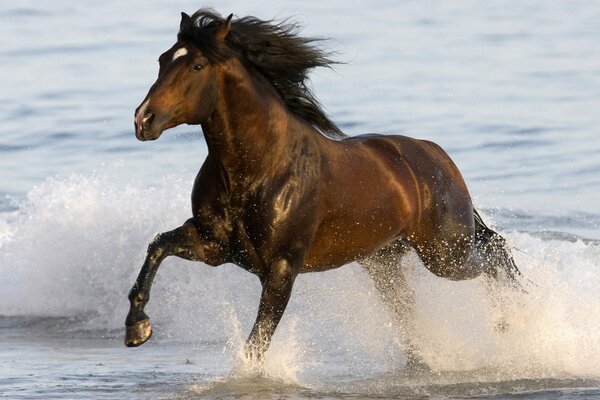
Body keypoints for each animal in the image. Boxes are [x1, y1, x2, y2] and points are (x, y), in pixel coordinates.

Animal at [125, 9, 520, 364]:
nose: (144, 120)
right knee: (412, 305)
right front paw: (137, 329)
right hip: (385, 261)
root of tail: (437, 155)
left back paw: (511, 323)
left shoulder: (282, 267)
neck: (259, 169)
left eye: (196, 66)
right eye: (162, 60)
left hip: (445, 253)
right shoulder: (213, 246)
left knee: (496, 254)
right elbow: (158, 246)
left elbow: (258, 342)